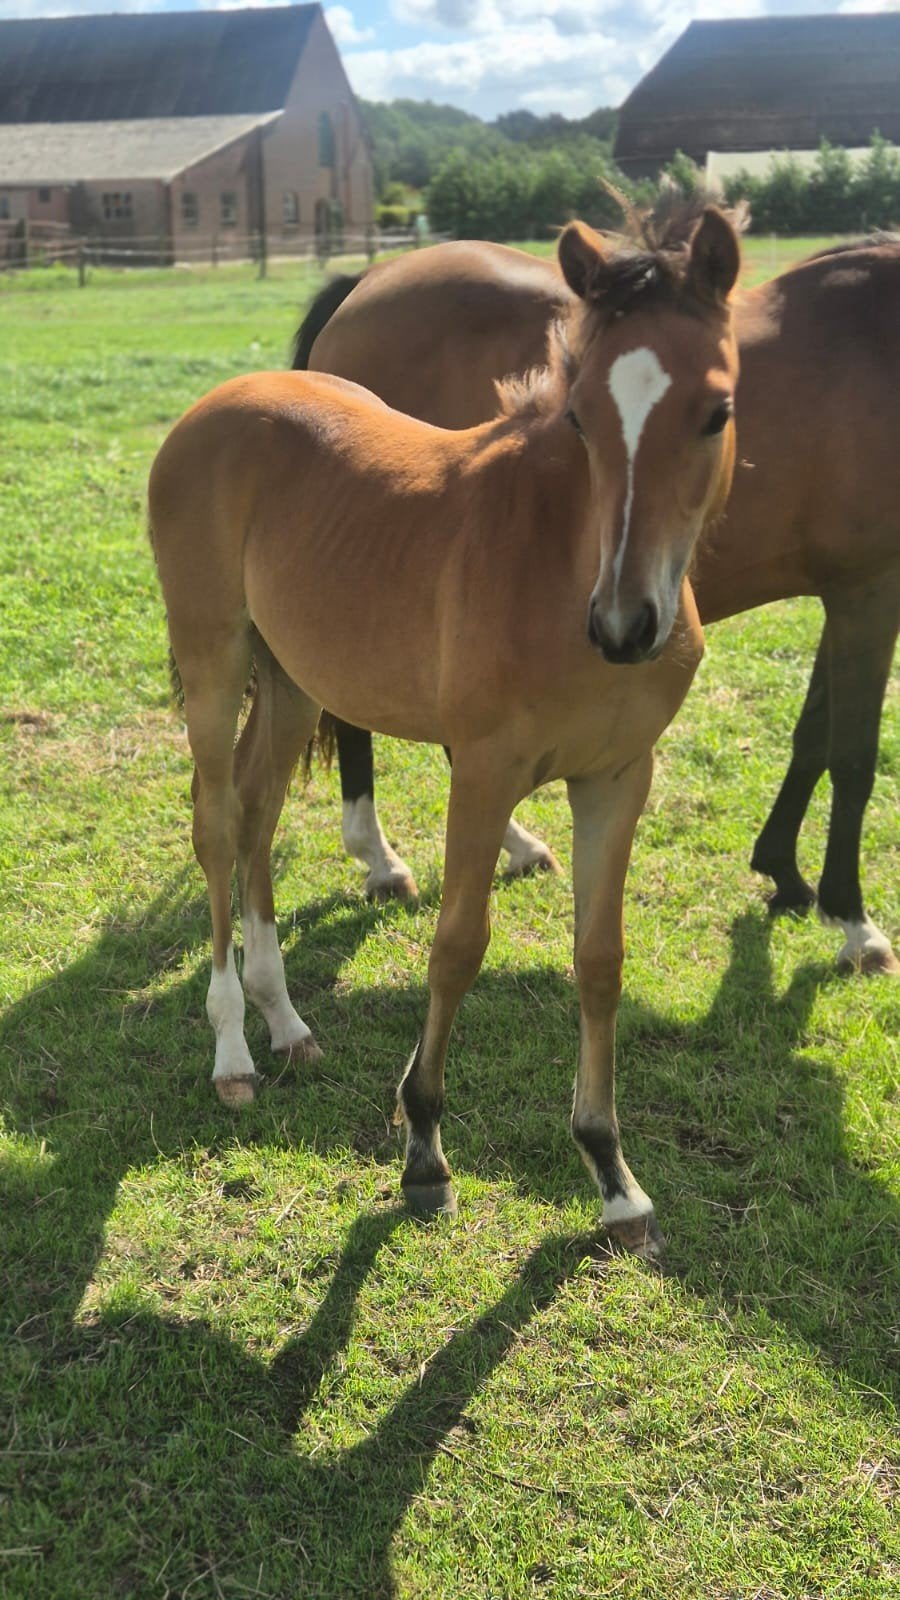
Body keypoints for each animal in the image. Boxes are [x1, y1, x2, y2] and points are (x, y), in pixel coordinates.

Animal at [149, 204, 742, 1255]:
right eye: (582, 415)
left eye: (715, 411)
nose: (625, 626)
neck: (558, 566)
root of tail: (220, 399)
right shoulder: (485, 771)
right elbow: (458, 946)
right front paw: (423, 1149)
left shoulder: (619, 775)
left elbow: (601, 959)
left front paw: (614, 1177)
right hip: (214, 659)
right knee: (216, 822)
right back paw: (232, 1049)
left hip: (295, 677)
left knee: (259, 808)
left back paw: (285, 1020)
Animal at [296, 231, 900, 976]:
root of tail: (365, 282)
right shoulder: (869, 589)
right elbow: (853, 756)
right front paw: (853, 921)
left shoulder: (843, 591)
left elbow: (813, 735)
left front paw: (784, 873)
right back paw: (382, 861)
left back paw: (511, 846)